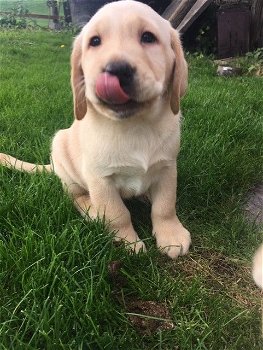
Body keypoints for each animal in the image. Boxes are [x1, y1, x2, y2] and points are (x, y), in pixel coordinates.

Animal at [0, 0, 191, 260]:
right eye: (95, 41)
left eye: (148, 37)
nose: (116, 70)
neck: (135, 126)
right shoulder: (100, 178)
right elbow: (118, 213)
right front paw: (128, 242)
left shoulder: (167, 168)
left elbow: (165, 206)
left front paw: (171, 235)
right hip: (62, 152)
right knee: (76, 197)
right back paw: (92, 209)